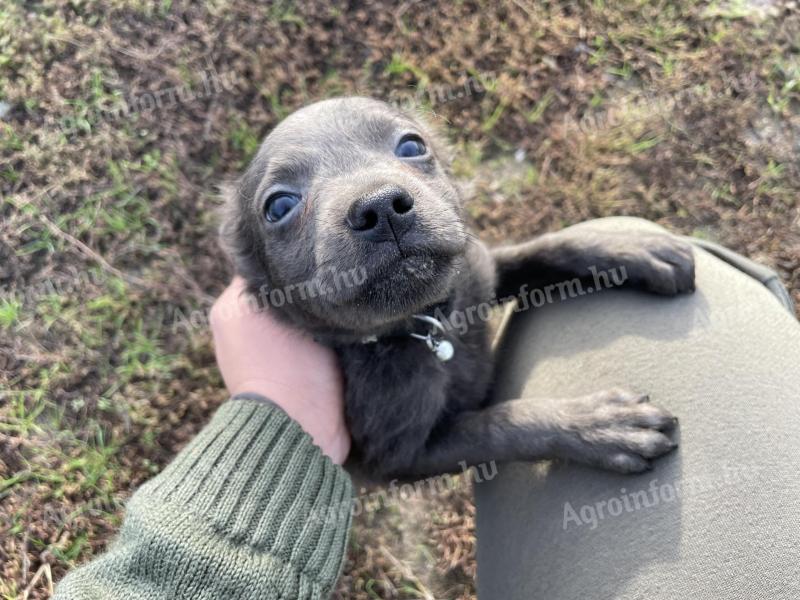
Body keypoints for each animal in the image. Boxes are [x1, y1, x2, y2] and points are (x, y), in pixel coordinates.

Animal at [220, 98, 692, 482]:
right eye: (280, 206)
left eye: (411, 146)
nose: (380, 205)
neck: (431, 325)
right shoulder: (402, 459)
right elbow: (503, 424)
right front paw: (597, 425)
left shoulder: (482, 271)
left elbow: (546, 250)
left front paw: (632, 248)